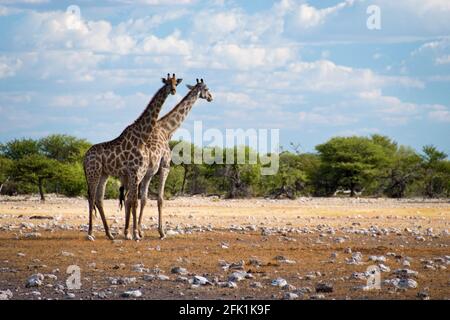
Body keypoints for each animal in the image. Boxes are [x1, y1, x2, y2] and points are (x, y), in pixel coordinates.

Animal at [82, 74, 183, 239]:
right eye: (167, 83)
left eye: (176, 83)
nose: (173, 91)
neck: (141, 136)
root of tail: (84, 158)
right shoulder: (135, 171)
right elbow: (134, 201)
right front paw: (135, 234)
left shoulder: (137, 172)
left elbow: (133, 200)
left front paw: (134, 233)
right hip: (93, 172)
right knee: (91, 198)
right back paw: (90, 234)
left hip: (103, 174)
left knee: (99, 199)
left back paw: (109, 234)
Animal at [120, 79, 214, 239]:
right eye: (206, 88)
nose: (211, 97)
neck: (167, 130)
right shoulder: (165, 167)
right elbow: (160, 199)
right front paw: (161, 232)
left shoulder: (150, 173)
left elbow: (144, 199)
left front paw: (141, 230)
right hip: (135, 174)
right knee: (129, 198)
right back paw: (129, 233)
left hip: (128, 176)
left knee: (127, 198)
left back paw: (128, 232)